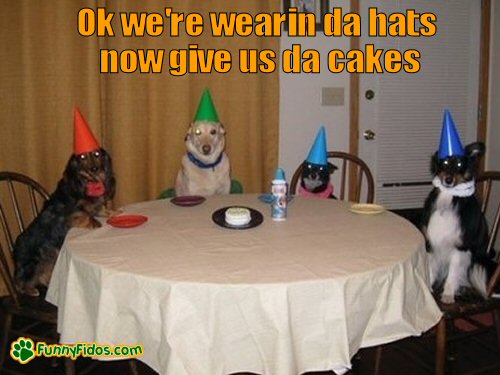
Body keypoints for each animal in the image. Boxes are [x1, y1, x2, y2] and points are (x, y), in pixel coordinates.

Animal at [13, 148, 116, 296]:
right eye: (82, 157)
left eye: (97, 154)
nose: (94, 169)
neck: (88, 182)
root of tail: (15, 248)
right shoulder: (70, 213)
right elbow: (85, 214)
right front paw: (95, 223)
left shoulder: (95, 205)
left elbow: (102, 208)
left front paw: (113, 212)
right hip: (33, 264)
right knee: (19, 282)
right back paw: (31, 290)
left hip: (48, 260)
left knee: (42, 276)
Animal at [422, 142, 496, 304]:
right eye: (444, 162)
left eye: (459, 164)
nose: (448, 180)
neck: (449, 198)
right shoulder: (431, 242)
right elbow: (431, 268)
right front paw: (428, 288)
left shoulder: (460, 247)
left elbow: (453, 272)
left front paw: (448, 295)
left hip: (479, 261)